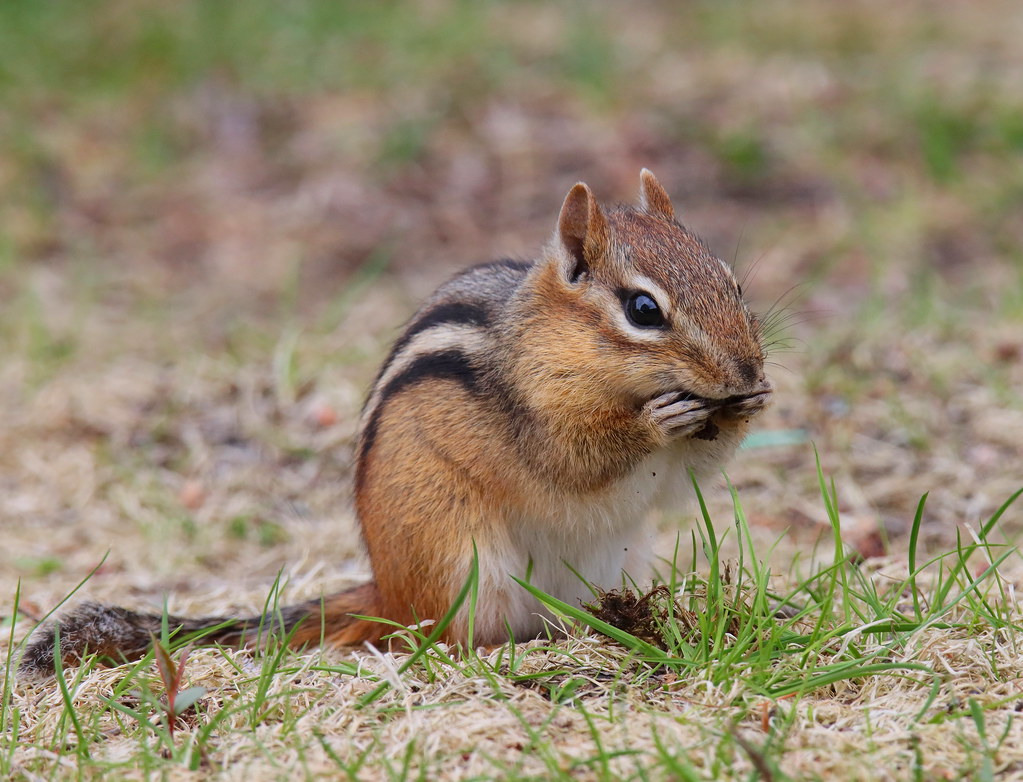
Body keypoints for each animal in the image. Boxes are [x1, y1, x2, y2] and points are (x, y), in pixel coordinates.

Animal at [19, 169, 772, 676]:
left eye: (734, 284)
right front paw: (658, 418)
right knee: (438, 636)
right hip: (457, 556)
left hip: (616, 561)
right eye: (643, 310)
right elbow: (573, 456)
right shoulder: (534, 415)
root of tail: (386, 587)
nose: (745, 373)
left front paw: (750, 408)